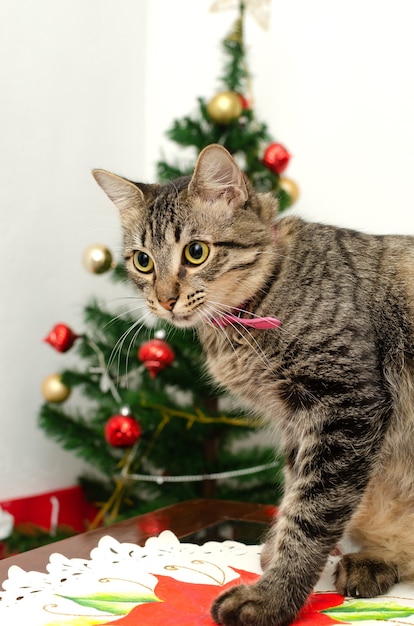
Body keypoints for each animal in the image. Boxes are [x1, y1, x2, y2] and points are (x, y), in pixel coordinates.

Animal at [92, 143, 414, 624]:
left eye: (196, 252)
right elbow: (293, 495)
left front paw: (272, 597)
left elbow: (311, 512)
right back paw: (373, 561)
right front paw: (272, 554)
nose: (165, 300)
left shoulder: (346, 405)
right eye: (142, 261)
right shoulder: (297, 421)